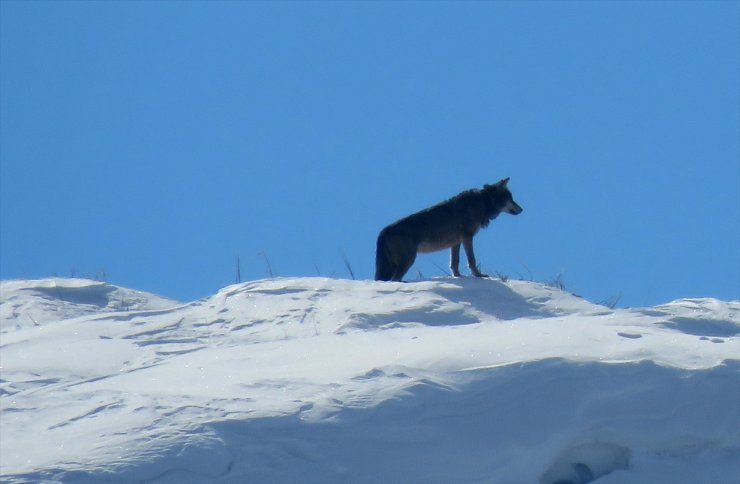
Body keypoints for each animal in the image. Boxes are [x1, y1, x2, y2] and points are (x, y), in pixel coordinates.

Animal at [372, 179, 524, 282]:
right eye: (510, 198)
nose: (522, 209)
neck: (482, 202)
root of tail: (383, 231)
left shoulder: (455, 242)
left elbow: (454, 263)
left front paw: (458, 277)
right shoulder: (467, 237)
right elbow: (472, 260)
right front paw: (479, 275)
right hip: (408, 260)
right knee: (394, 280)